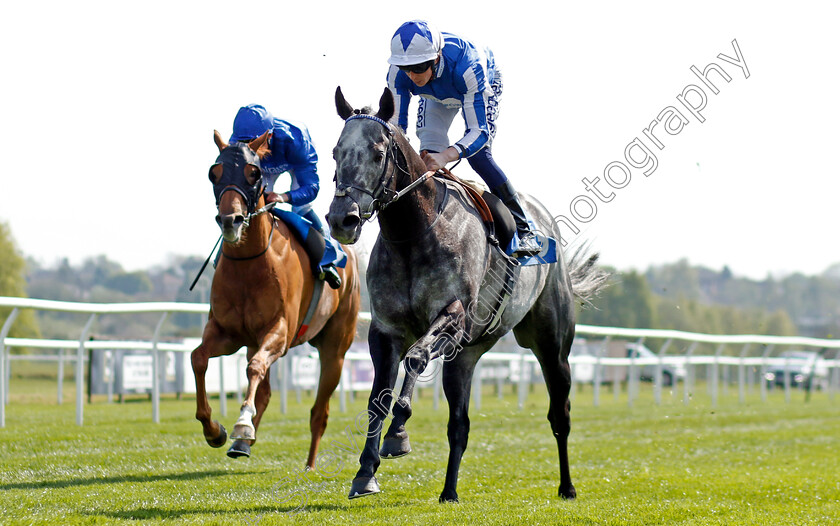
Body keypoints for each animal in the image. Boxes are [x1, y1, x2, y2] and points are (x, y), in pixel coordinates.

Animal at [190, 130, 360, 468]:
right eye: (214, 173)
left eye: (253, 174)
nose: (231, 220)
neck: (249, 264)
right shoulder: (228, 333)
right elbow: (198, 357)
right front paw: (215, 430)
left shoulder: (279, 331)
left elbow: (255, 368)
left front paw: (242, 423)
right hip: (254, 340)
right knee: (265, 390)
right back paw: (242, 444)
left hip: (335, 348)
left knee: (319, 411)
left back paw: (309, 463)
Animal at [324, 87, 608, 508]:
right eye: (335, 151)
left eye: (377, 153)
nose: (343, 218)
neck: (415, 231)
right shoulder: (386, 330)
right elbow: (378, 398)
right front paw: (365, 473)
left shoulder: (454, 317)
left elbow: (416, 357)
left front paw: (398, 434)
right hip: (467, 356)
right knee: (460, 425)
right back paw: (449, 492)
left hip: (551, 345)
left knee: (560, 414)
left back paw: (567, 487)